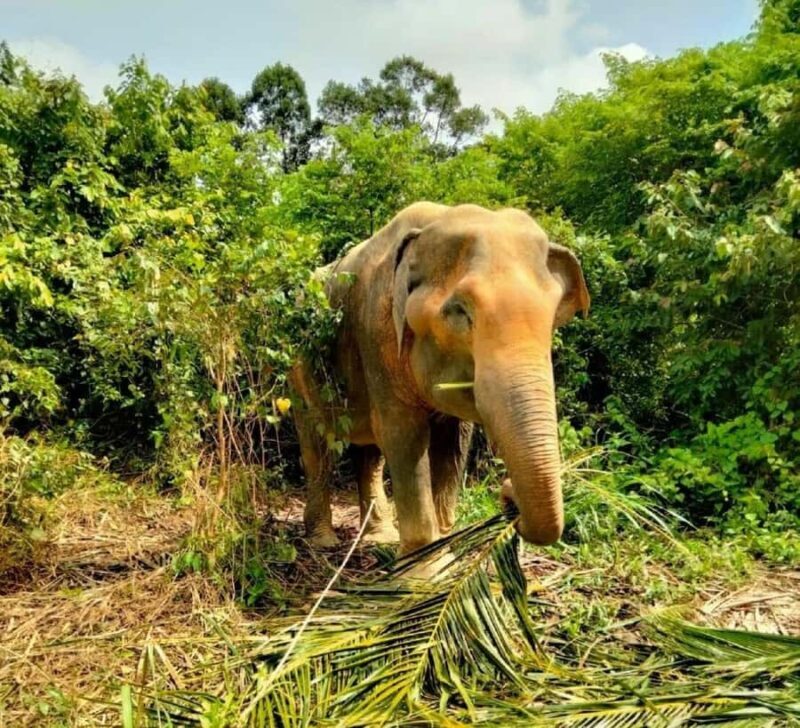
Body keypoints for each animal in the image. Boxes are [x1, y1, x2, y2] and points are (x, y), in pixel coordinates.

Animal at [289, 202, 589, 554]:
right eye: (460, 311)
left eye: (554, 314)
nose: (507, 493)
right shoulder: (376, 331)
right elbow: (402, 433)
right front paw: (424, 564)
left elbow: (454, 443)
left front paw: (442, 551)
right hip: (297, 370)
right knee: (315, 444)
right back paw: (323, 541)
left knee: (369, 449)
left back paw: (379, 537)